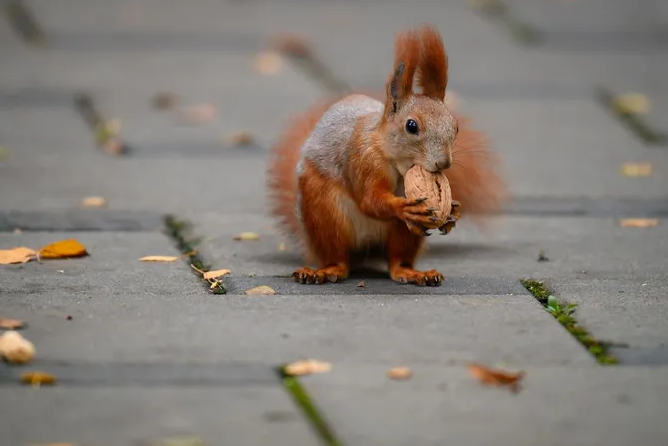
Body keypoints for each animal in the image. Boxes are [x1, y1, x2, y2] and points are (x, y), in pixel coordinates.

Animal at [266, 24, 506, 286]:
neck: (393, 159)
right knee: (338, 258)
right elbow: (370, 200)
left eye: (456, 127)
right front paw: (403, 208)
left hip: (401, 234)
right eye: (411, 126)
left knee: (397, 260)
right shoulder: (364, 159)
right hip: (324, 212)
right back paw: (325, 270)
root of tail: (365, 251)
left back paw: (413, 273)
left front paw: (452, 211)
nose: (444, 163)